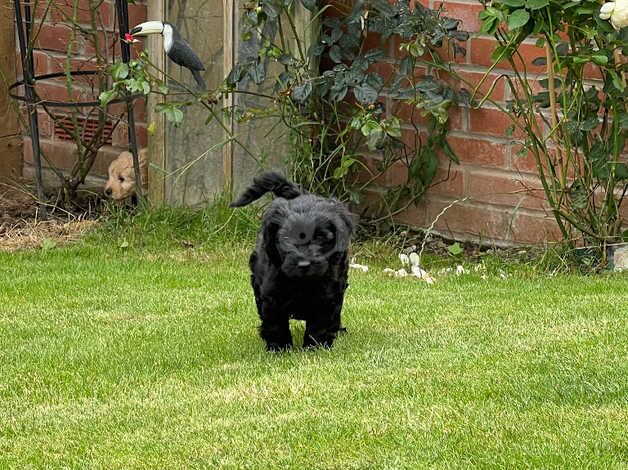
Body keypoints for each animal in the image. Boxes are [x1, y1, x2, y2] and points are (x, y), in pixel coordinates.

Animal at [233, 172, 356, 348]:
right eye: (286, 238)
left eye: (320, 237)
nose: (303, 264)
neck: (301, 282)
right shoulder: (272, 291)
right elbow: (275, 321)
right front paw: (279, 347)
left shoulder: (328, 291)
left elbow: (320, 321)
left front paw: (316, 347)